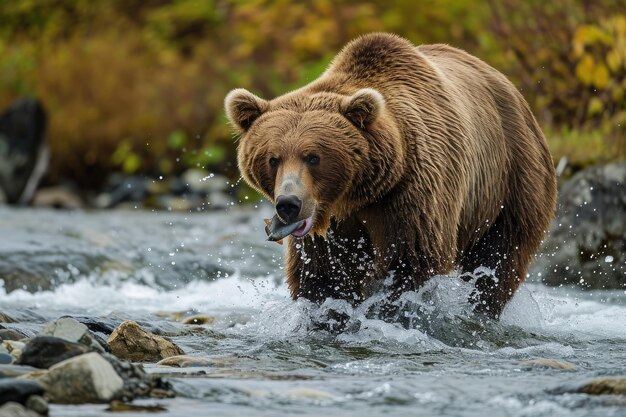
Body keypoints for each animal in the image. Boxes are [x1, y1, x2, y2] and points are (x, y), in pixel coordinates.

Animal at [224, 33, 556, 318]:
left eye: (313, 157)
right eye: (273, 159)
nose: (288, 204)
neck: (356, 196)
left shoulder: (411, 193)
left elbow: (410, 264)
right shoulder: (329, 230)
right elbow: (322, 277)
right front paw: (328, 317)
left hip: (511, 180)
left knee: (499, 261)